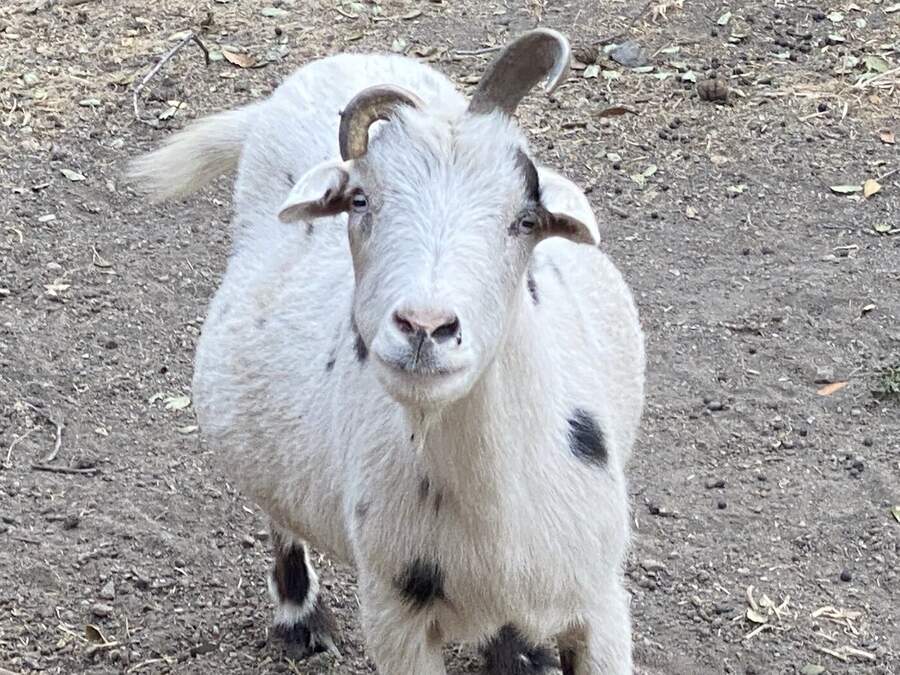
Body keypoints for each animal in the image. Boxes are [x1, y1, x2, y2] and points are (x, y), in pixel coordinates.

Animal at [129, 29, 645, 675]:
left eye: (525, 220)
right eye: (359, 201)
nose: (424, 327)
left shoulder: (600, 604)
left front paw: (522, 651)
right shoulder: (395, 617)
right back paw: (301, 618)